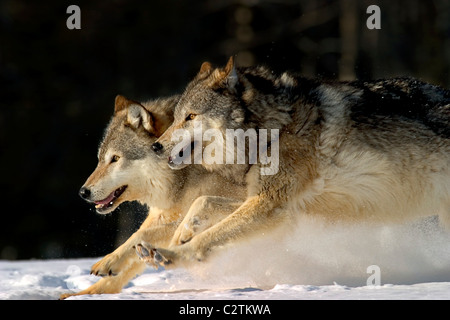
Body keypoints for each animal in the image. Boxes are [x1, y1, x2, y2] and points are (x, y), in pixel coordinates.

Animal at [59, 94, 246, 298]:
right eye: (100, 160)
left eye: (115, 159)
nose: (83, 192)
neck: (183, 175)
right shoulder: (161, 214)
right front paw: (85, 293)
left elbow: (142, 233)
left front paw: (109, 261)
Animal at [142, 56, 450, 268]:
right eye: (177, 117)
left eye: (191, 116)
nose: (156, 146)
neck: (276, 128)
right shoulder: (280, 207)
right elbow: (202, 201)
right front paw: (180, 234)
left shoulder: (269, 205)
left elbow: (207, 238)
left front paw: (172, 253)